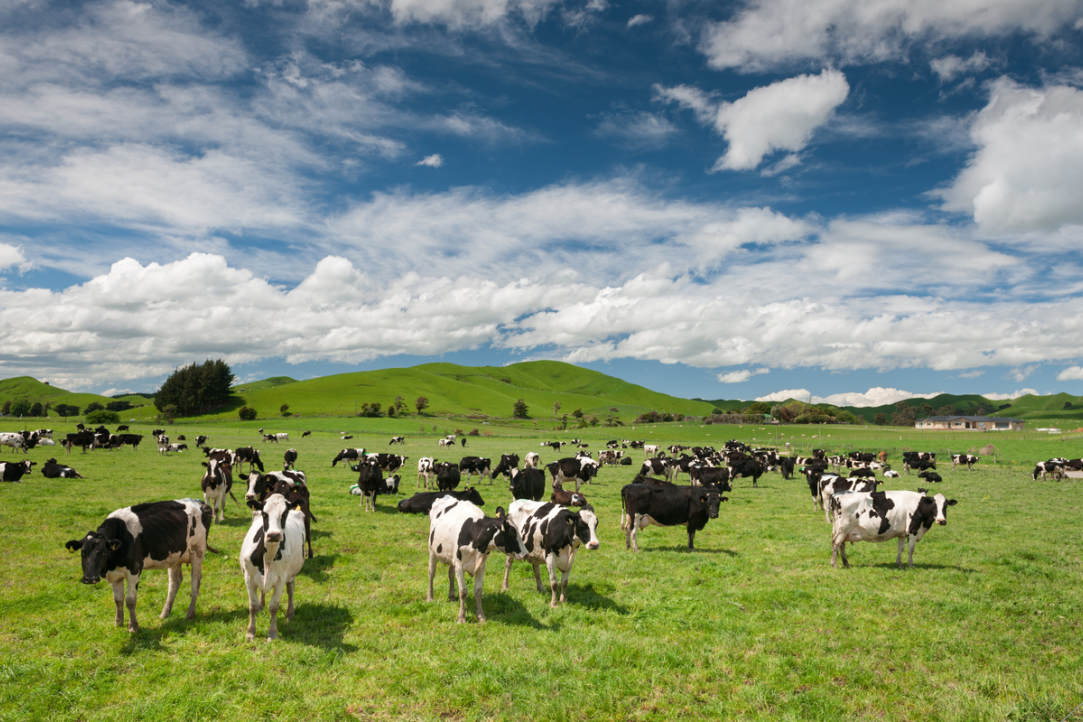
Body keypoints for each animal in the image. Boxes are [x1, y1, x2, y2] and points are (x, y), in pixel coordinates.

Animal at [66, 497, 215, 632]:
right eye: (83, 552)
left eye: (102, 552)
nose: (90, 578)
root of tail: (200, 502)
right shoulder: (114, 575)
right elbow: (118, 599)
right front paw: (118, 623)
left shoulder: (134, 570)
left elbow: (130, 600)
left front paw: (133, 627)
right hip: (175, 556)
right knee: (174, 582)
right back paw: (165, 613)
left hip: (197, 552)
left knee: (195, 582)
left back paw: (190, 614)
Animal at [831, 491, 961, 571]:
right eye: (934, 506)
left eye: (945, 506)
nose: (941, 520)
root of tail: (837, 494)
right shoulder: (913, 530)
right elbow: (910, 549)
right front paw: (911, 565)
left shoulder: (902, 533)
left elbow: (901, 548)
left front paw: (899, 564)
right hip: (844, 527)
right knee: (836, 543)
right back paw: (834, 564)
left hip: (842, 530)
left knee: (841, 545)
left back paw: (846, 564)